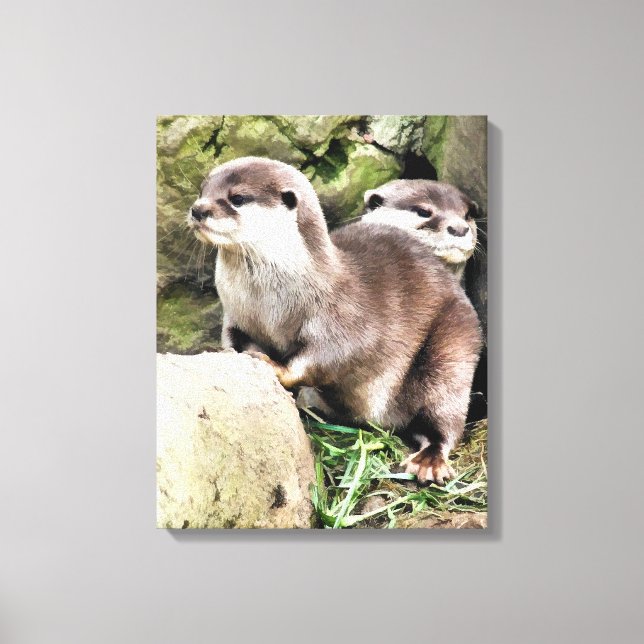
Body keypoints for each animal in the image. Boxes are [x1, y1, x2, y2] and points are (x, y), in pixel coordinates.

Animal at [189, 157, 482, 484]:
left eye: (237, 198)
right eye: (202, 191)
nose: (198, 209)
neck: (269, 304)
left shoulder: (345, 316)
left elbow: (333, 355)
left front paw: (276, 367)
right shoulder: (236, 316)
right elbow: (233, 339)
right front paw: (226, 353)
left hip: (452, 345)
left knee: (445, 413)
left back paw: (429, 460)